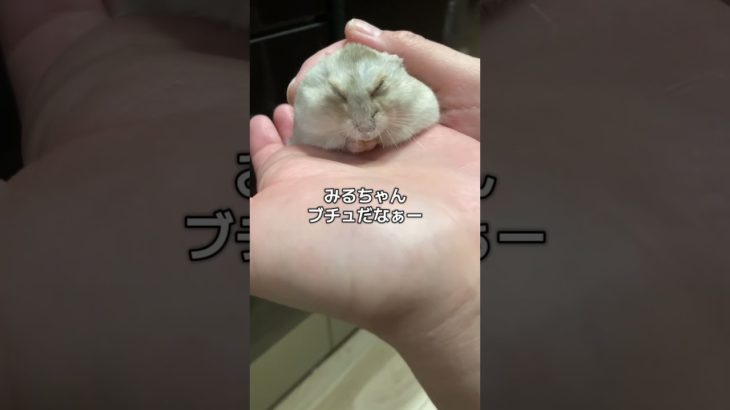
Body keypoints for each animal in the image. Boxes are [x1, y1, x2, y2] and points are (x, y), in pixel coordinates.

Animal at [289, 43, 440, 153]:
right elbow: (341, 141)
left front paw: (372, 142)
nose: (366, 133)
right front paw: (363, 144)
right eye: (337, 92)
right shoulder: (310, 131)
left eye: (379, 85)